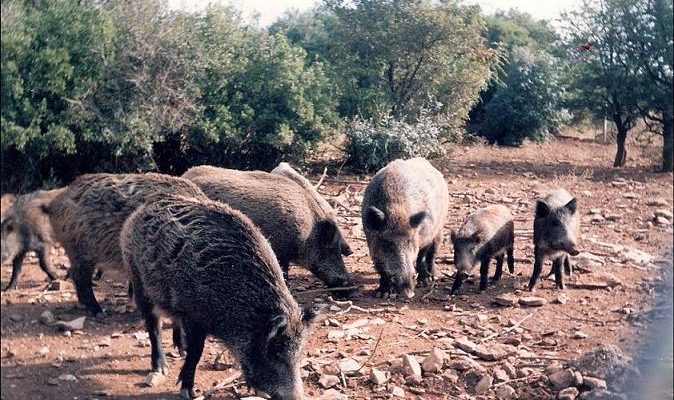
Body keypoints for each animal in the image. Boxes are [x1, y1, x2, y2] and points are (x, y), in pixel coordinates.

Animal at [120, 194, 315, 400]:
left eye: (299, 353)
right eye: (274, 353)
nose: (296, 397)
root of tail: (142, 208)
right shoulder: (195, 317)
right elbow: (197, 352)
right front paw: (189, 392)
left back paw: (181, 350)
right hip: (138, 279)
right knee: (153, 326)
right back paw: (160, 368)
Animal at [182, 164, 353, 291]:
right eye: (331, 249)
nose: (349, 284)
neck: (305, 233)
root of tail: (185, 175)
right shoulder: (280, 250)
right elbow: (283, 272)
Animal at [361, 158, 449, 299]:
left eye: (409, 241)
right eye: (387, 244)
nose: (407, 293)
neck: (396, 210)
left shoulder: (423, 237)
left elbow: (420, 256)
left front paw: (424, 283)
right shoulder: (370, 241)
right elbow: (380, 267)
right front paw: (382, 294)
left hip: (439, 227)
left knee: (433, 253)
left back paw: (432, 277)